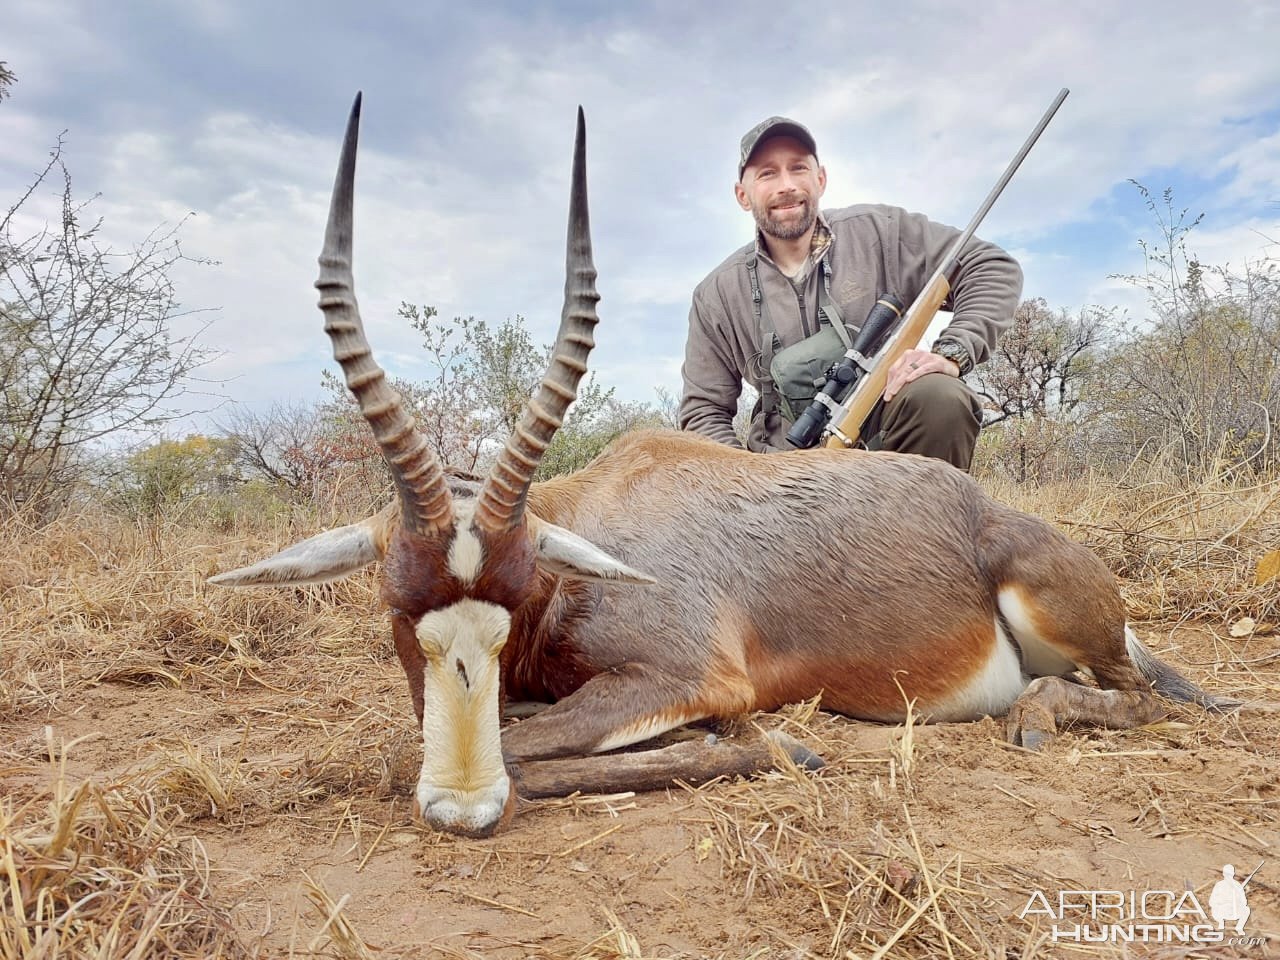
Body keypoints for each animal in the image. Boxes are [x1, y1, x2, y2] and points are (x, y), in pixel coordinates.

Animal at [212, 94, 1228, 839]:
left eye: (518, 591)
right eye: (396, 606)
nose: (464, 809)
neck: (594, 528)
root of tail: (989, 516)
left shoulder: (686, 675)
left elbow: (502, 748)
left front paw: (779, 749)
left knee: (1139, 699)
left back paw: (1037, 718)